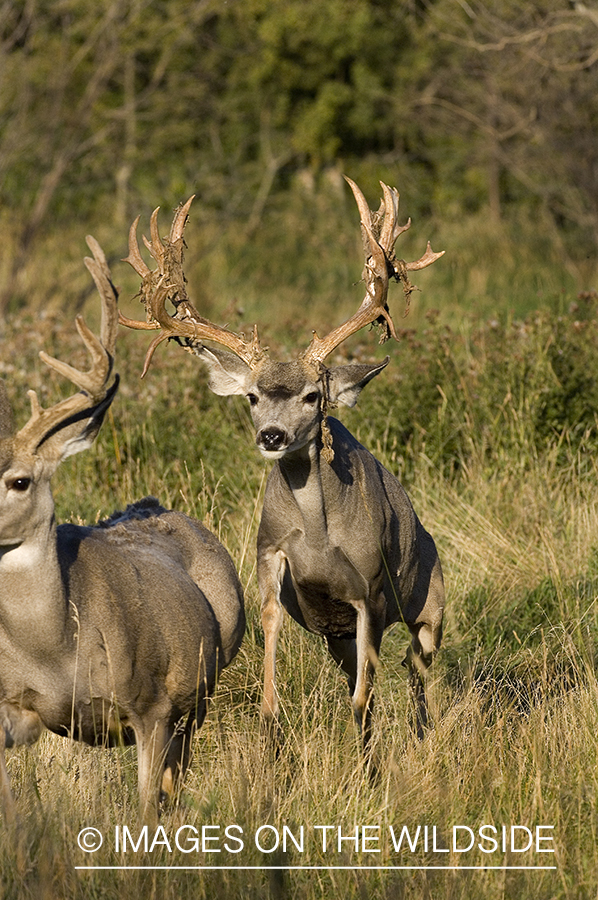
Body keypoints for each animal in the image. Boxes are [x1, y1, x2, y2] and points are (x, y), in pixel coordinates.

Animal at [0, 232, 246, 824]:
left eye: (19, 481)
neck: (55, 650)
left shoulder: (151, 704)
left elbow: (145, 808)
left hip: (199, 693)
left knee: (173, 785)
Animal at [120, 179, 446, 756]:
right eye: (252, 396)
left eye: (313, 395)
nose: (271, 435)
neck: (319, 534)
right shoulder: (270, 553)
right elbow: (273, 630)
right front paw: (273, 732)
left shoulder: (371, 585)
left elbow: (363, 698)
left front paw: (369, 761)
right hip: (339, 635)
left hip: (433, 602)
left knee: (416, 669)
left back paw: (420, 737)